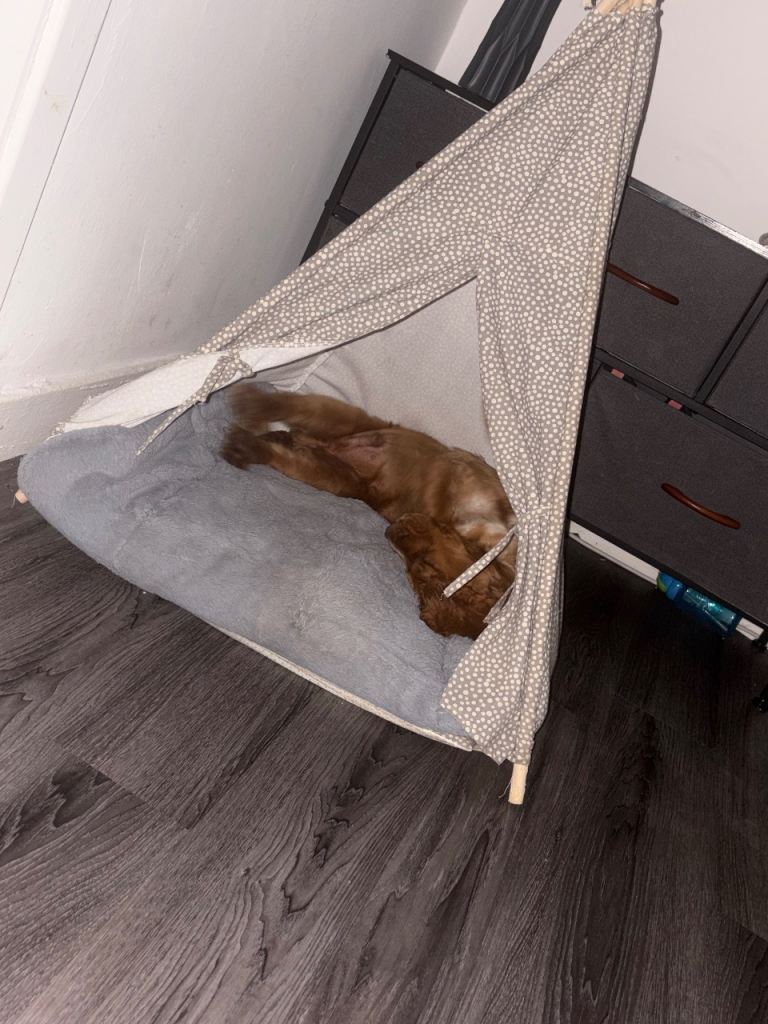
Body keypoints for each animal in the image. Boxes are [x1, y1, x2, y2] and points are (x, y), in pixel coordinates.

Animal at [221, 386, 517, 639]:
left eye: (415, 574)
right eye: (426, 562)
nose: (389, 530)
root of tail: (331, 445)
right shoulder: (466, 483)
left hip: (335, 477)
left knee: (288, 452)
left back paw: (254, 445)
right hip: (345, 417)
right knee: (286, 404)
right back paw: (251, 402)